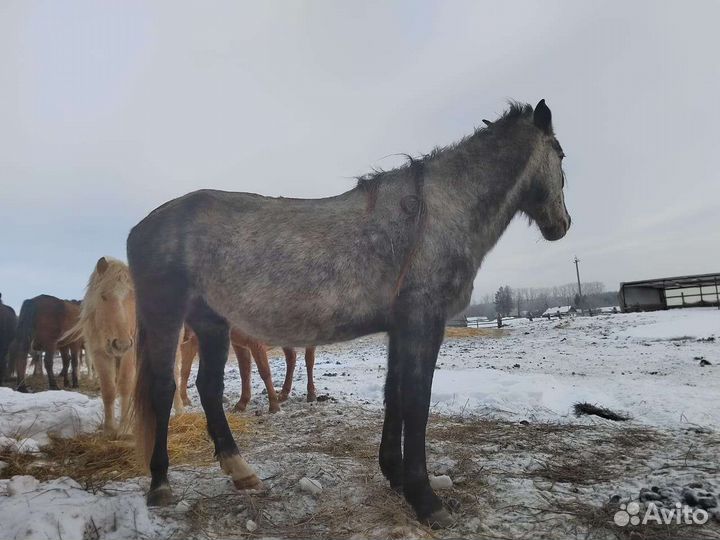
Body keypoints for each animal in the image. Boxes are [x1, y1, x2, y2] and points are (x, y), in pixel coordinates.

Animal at [179, 326, 316, 412]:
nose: (186, 337)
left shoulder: (256, 343)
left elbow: (264, 372)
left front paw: (274, 406)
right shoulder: (239, 345)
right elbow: (244, 371)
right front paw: (241, 403)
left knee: (309, 361)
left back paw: (311, 394)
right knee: (291, 358)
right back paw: (283, 393)